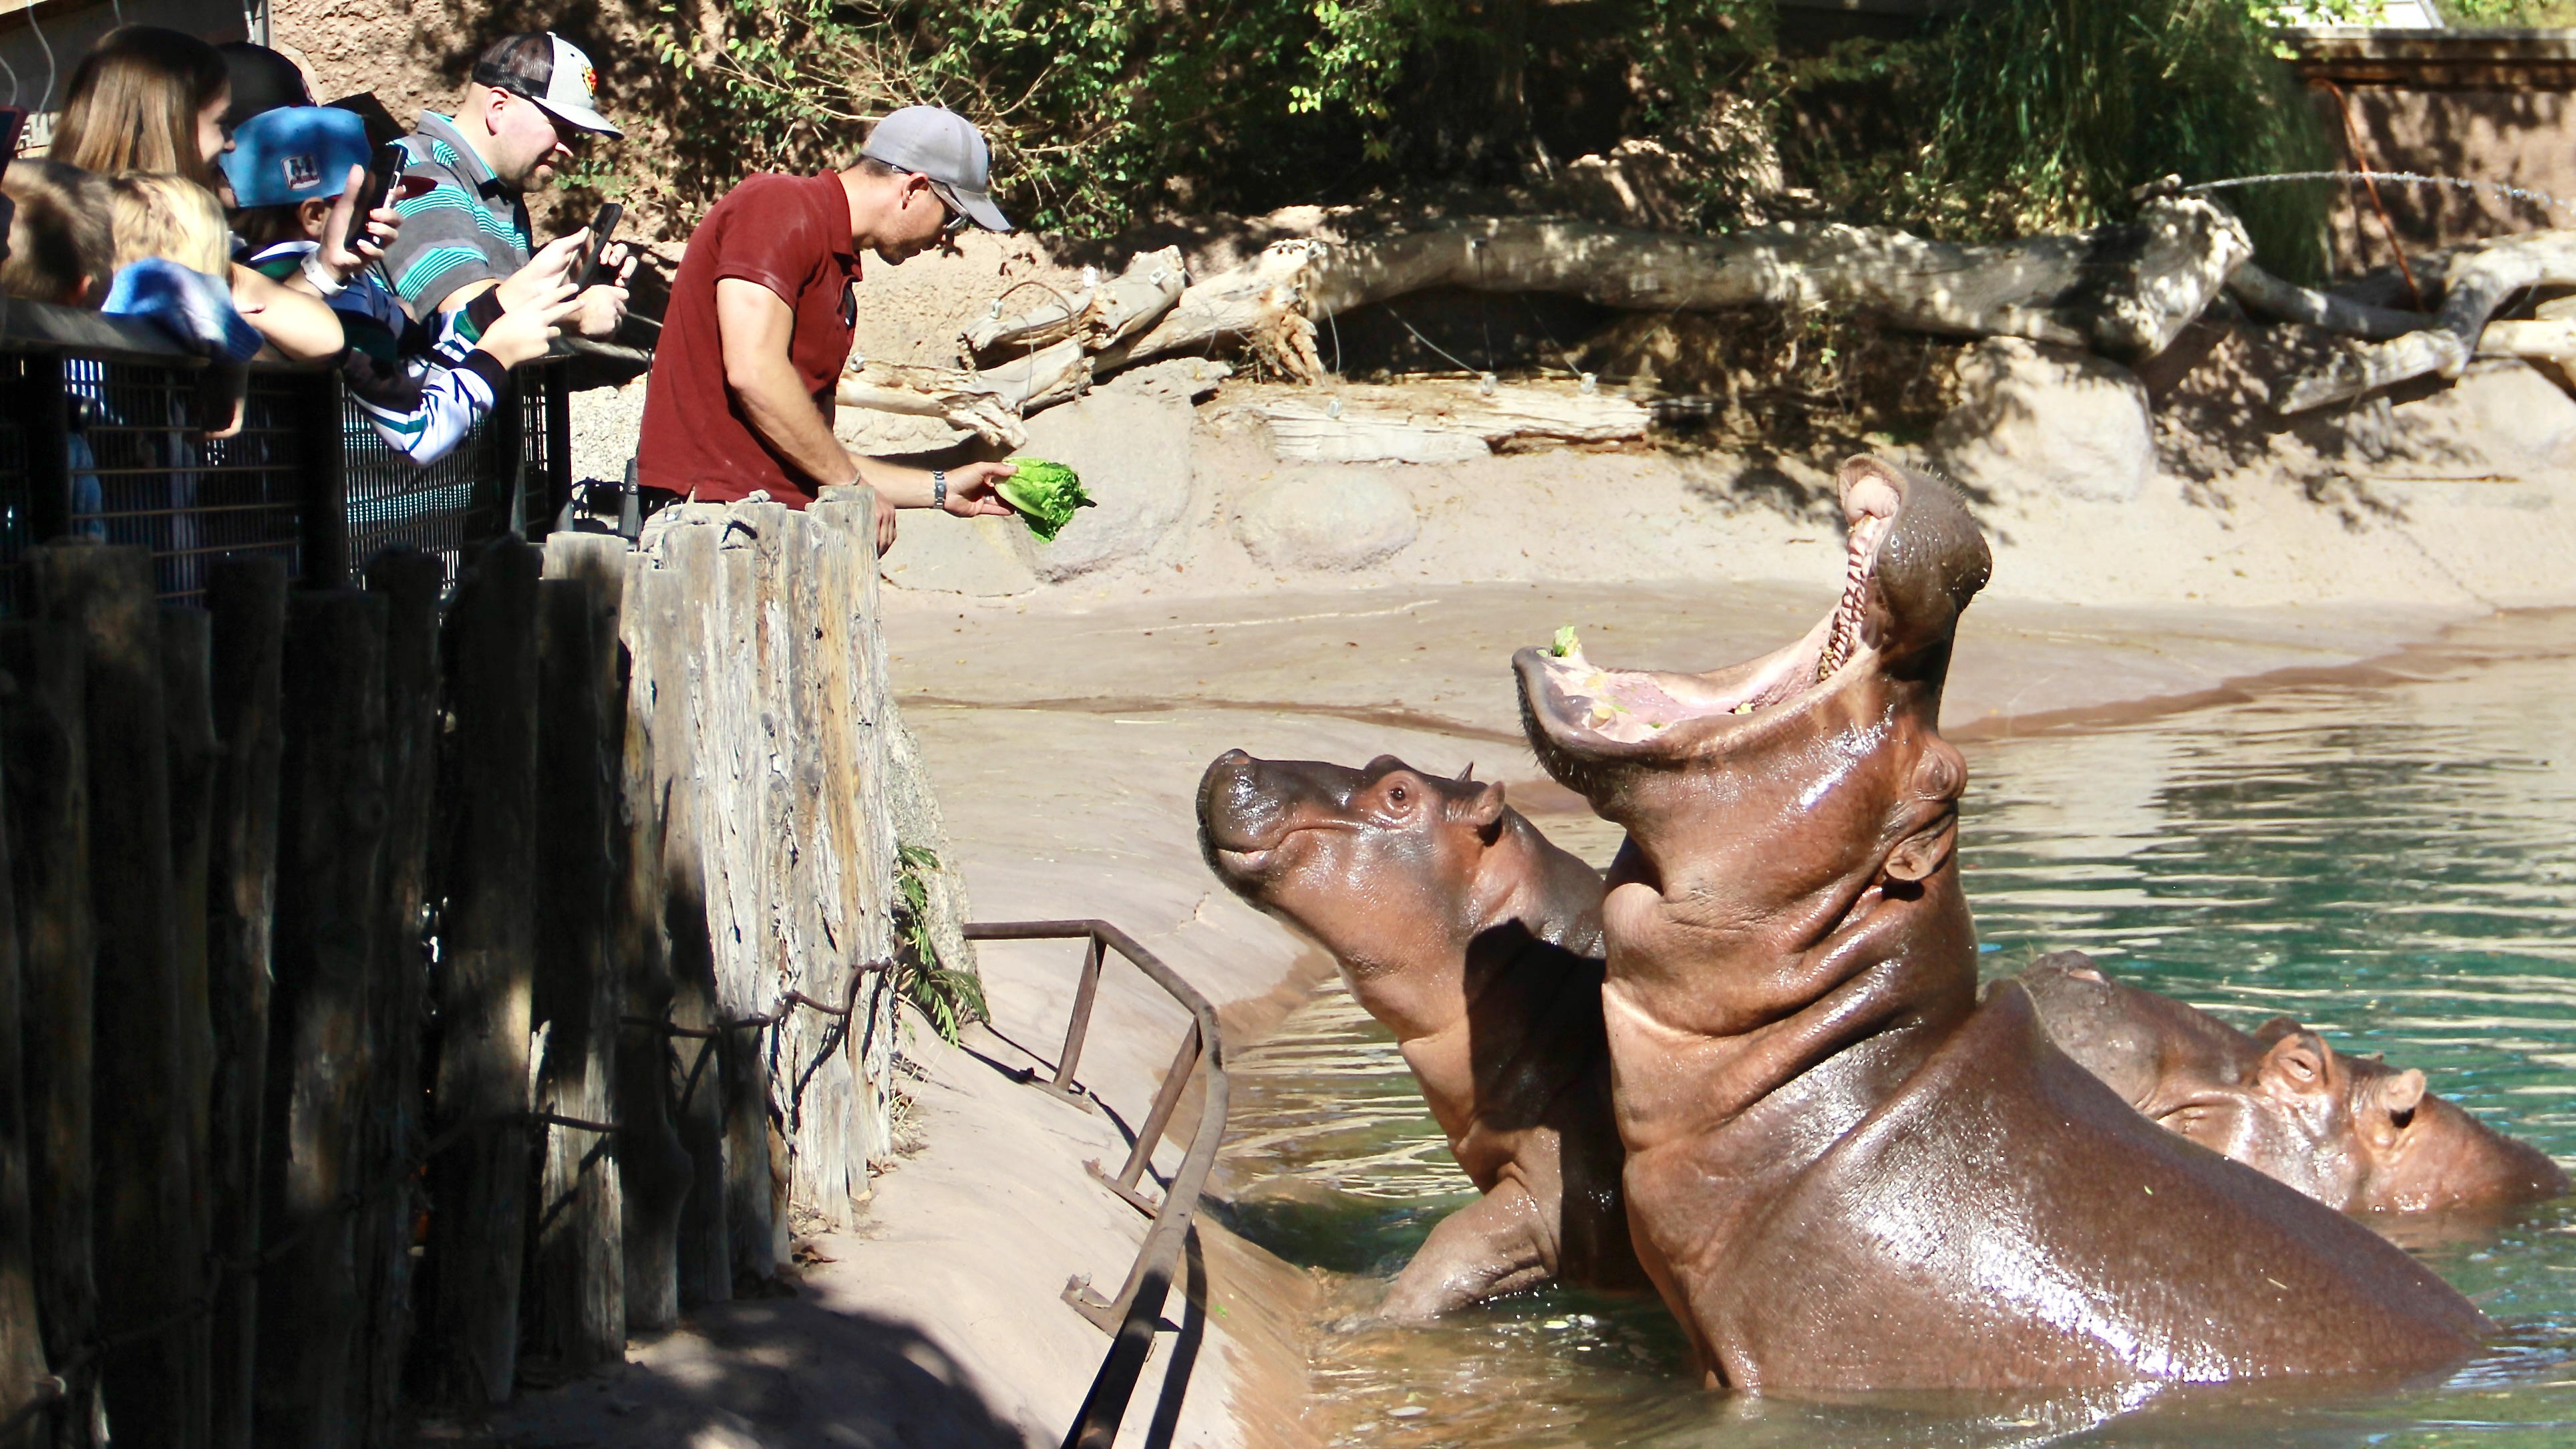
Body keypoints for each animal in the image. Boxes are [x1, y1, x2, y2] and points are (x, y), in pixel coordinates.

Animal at [1195, 748, 1638, 1315]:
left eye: (1399, 793)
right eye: (1382, 759)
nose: (1236, 758)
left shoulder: (1563, 1195)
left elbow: (1450, 1246)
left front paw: (1365, 1316)